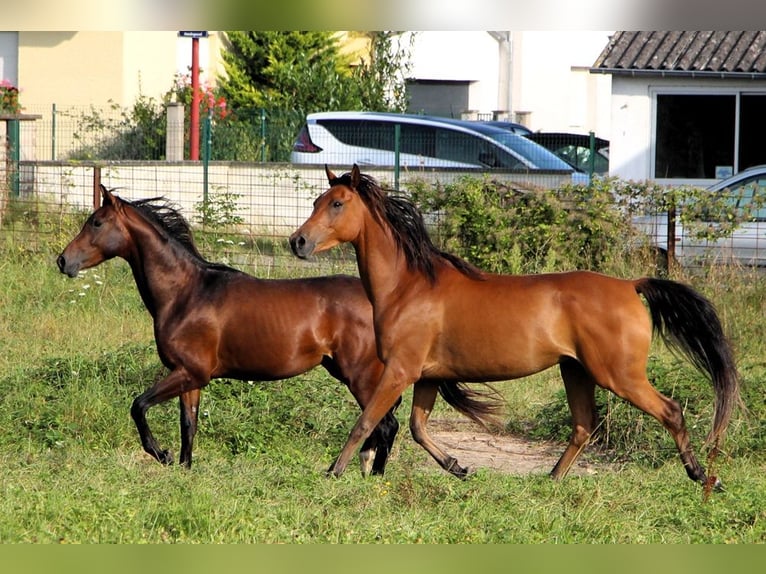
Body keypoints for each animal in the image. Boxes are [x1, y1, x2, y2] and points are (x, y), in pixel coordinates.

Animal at [60, 187, 504, 474]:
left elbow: (138, 405)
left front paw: (161, 454)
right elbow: (189, 426)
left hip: (361, 375)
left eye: (96, 222)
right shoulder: (191, 378)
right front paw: (183, 468)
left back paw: (371, 478)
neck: (186, 292)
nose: (63, 261)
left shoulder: (189, 372)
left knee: (385, 425)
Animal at [290, 166, 744, 490]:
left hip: (618, 375)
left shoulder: (400, 370)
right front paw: (458, 467)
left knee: (670, 411)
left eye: (337, 204)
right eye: (317, 200)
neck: (409, 285)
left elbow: (366, 421)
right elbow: (418, 428)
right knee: (583, 426)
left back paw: (704, 477)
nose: (298, 242)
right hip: (575, 370)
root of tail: (630, 285)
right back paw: (551, 481)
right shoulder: (427, 376)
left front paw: (333, 472)